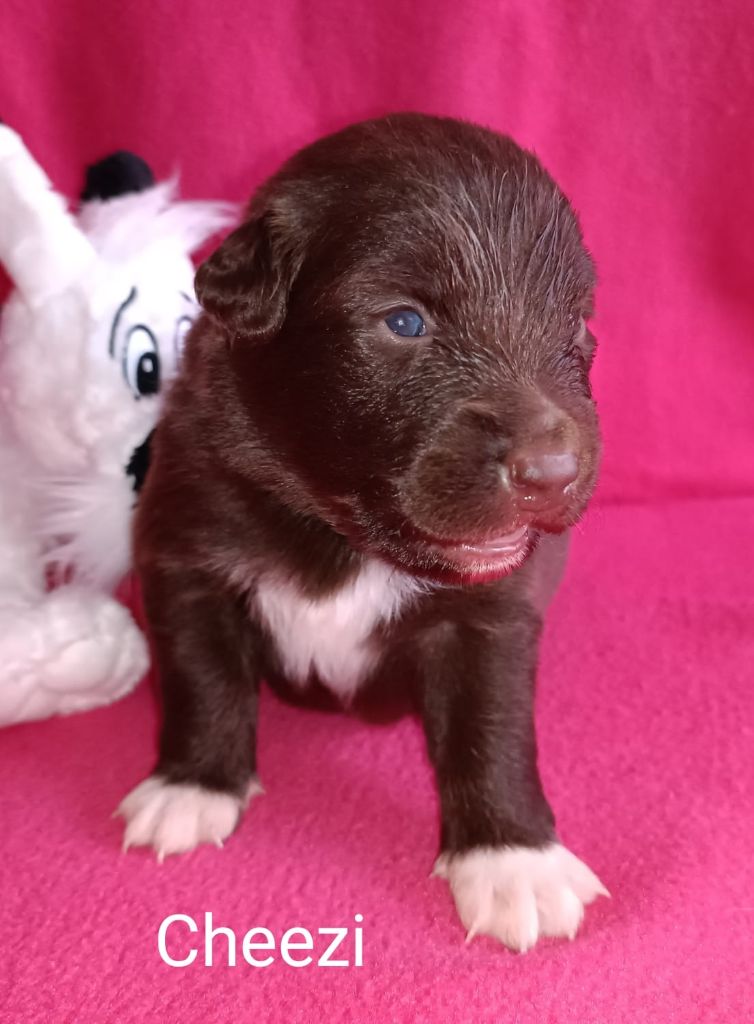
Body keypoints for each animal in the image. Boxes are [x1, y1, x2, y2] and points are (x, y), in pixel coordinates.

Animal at [117, 113, 609, 953]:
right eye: (404, 321)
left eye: (576, 323)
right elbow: (201, 678)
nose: (553, 471)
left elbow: (492, 727)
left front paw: (513, 859)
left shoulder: (492, 615)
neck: (343, 537)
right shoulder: (187, 553)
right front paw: (192, 786)